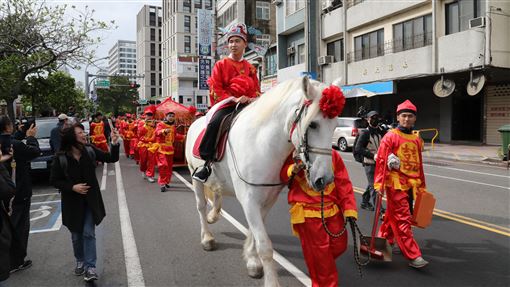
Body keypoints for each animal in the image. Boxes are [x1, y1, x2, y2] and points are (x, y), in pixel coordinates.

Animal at [185, 76, 340, 287]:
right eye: (313, 124)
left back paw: (213, 215)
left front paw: (252, 260)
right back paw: (207, 237)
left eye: (334, 126)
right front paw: (270, 279)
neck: (262, 144)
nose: (324, 179)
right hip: (194, 176)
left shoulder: (268, 198)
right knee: (200, 206)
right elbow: (265, 245)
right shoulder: (249, 199)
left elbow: (255, 231)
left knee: (216, 192)